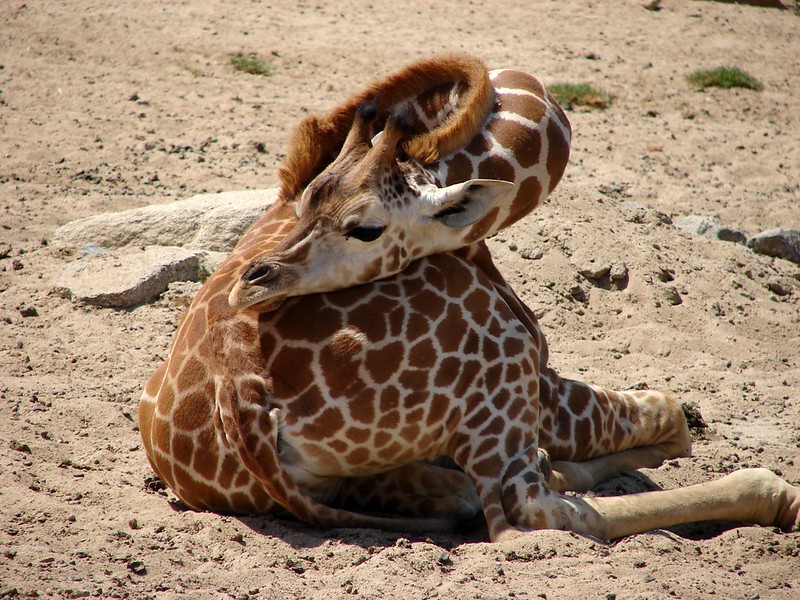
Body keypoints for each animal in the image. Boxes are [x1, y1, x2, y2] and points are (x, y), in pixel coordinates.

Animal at [139, 56, 800, 542]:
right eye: (306, 204)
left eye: (365, 228)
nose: (252, 282)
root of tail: (243, 406)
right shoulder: (540, 376)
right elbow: (671, 412)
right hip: (499, 377)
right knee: (535, 513)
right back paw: (771, 492)